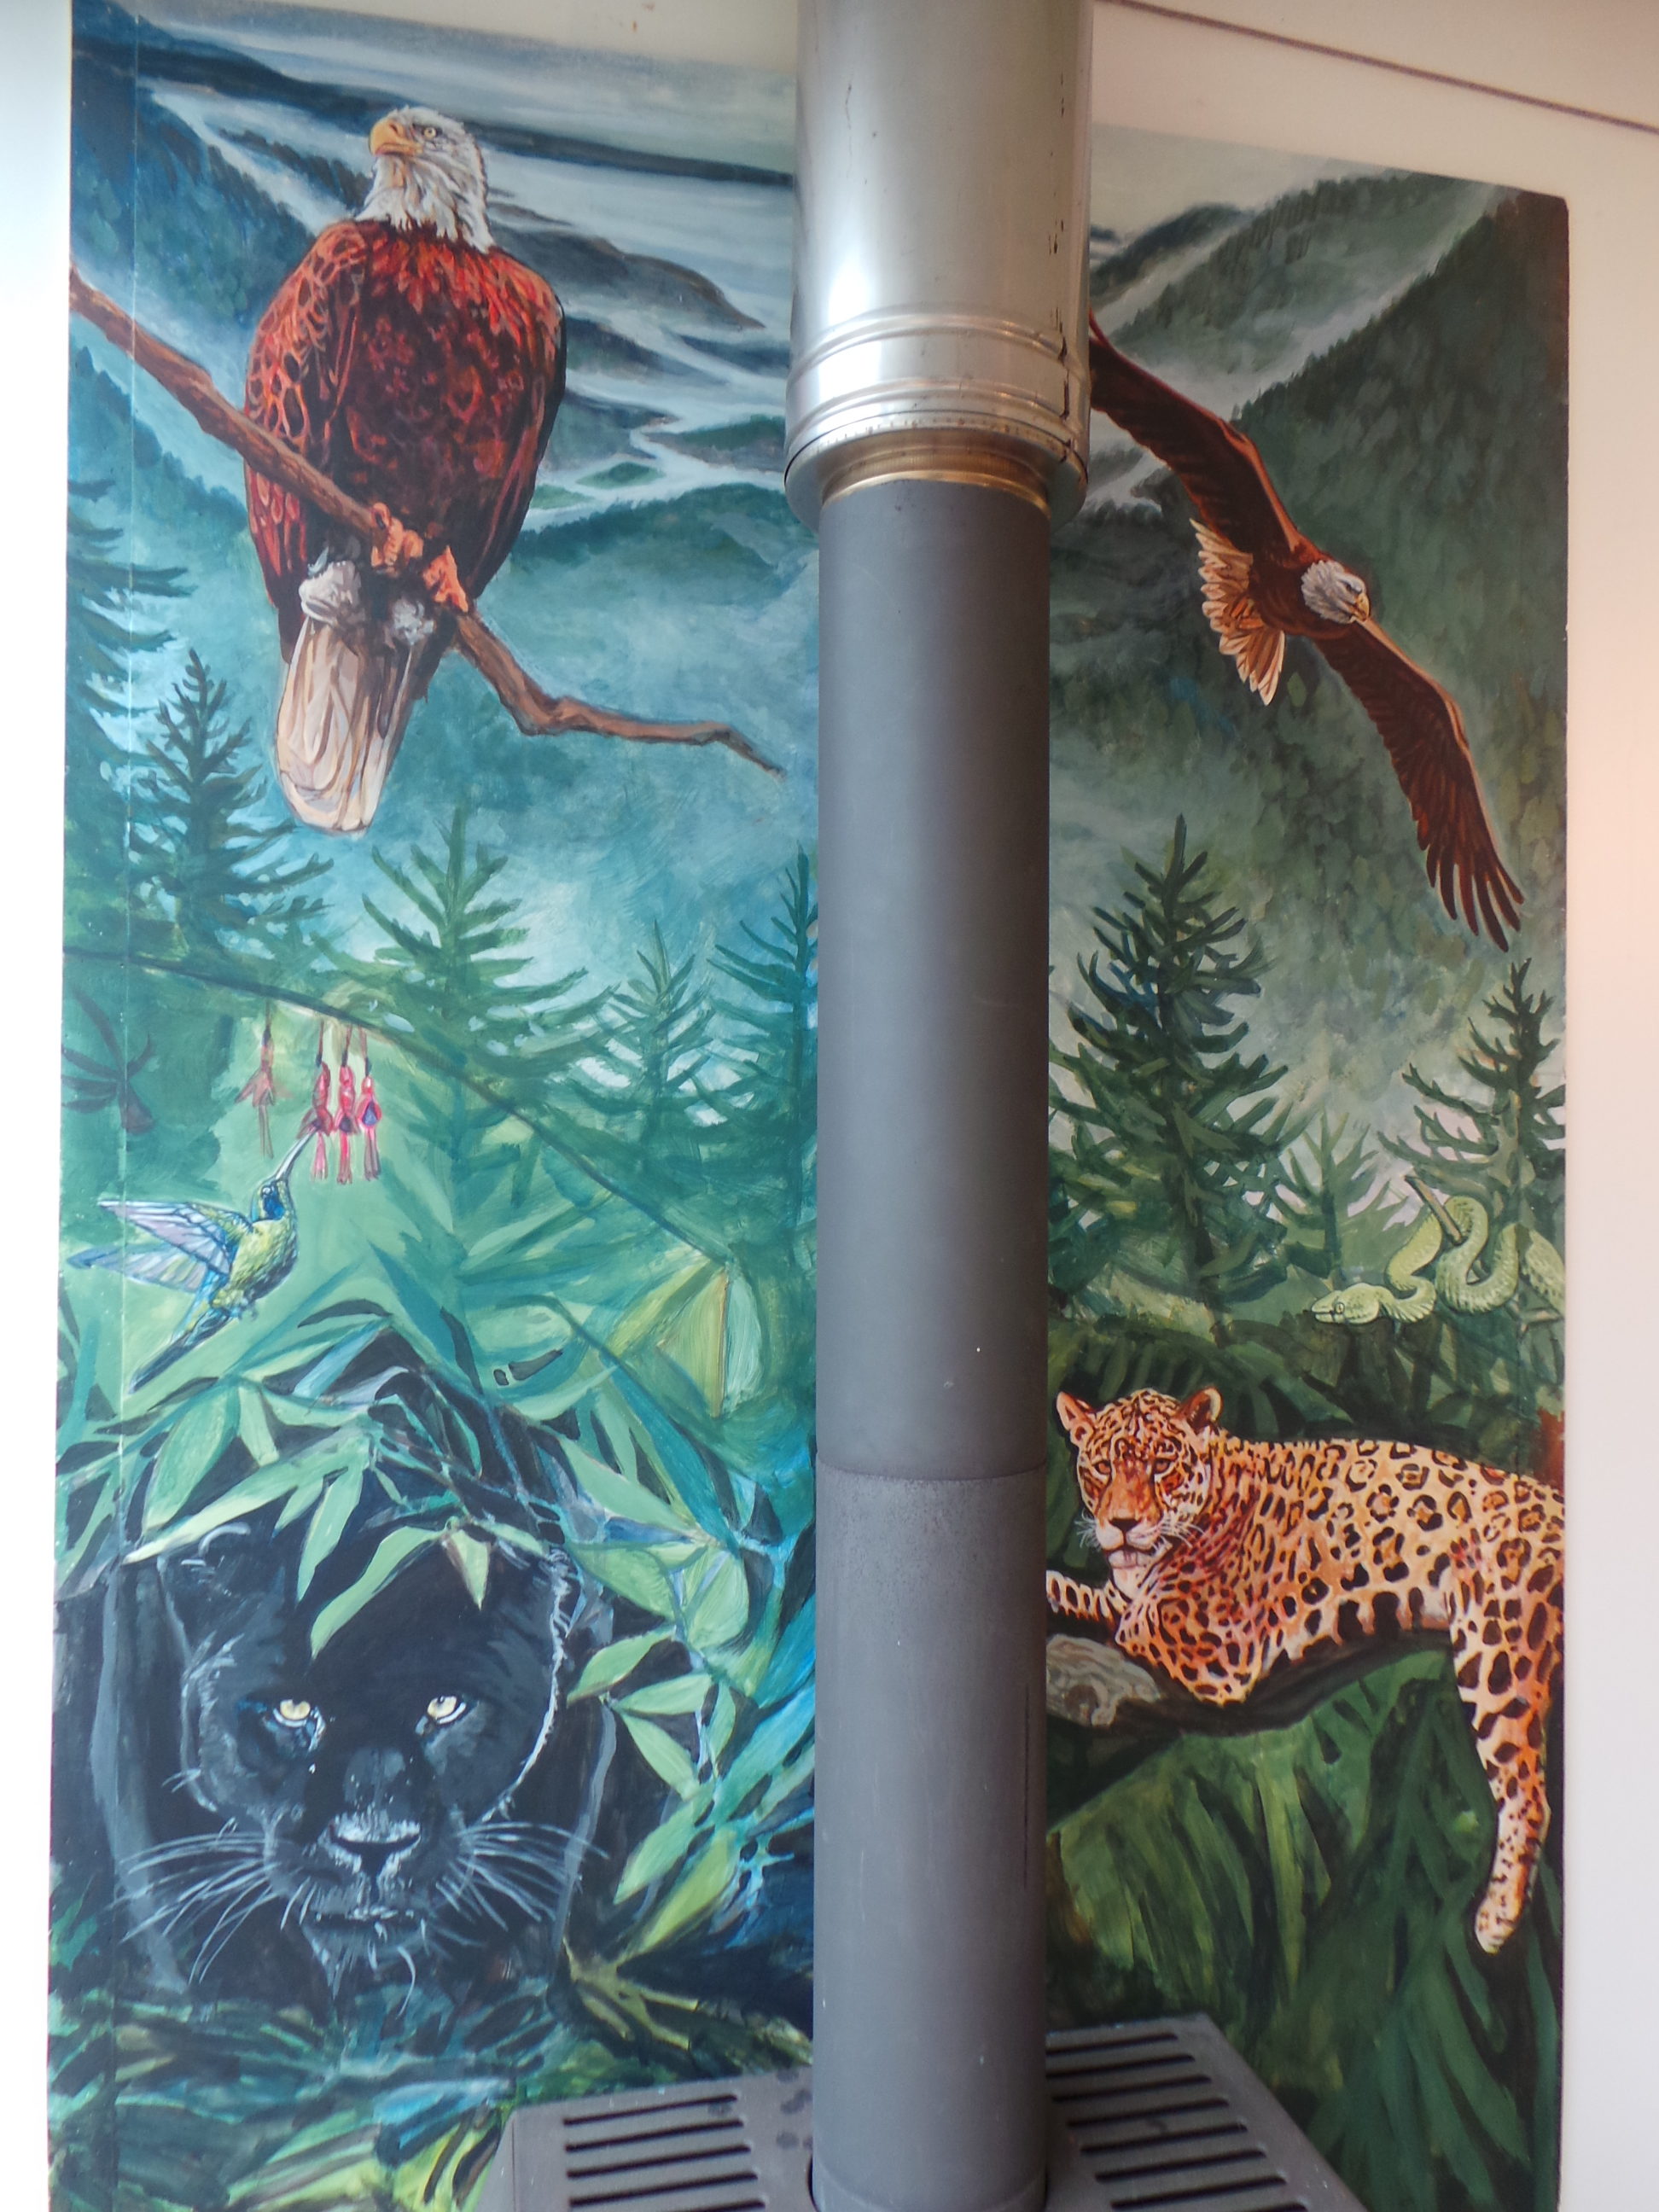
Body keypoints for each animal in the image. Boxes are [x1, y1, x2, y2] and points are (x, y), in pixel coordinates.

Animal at [1046, 1385, 1563, 1954]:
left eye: (1162, 1466)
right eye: (1101, 1468)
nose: (1122, 1524)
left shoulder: (1217, 1642)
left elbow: (1132, 1620)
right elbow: (1087, 1594)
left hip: (1496, 1647)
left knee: (1528, 1792)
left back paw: (1497, 1918)